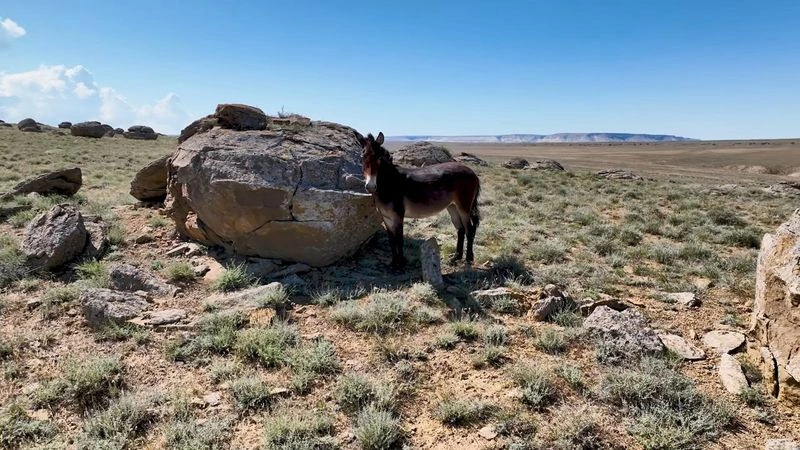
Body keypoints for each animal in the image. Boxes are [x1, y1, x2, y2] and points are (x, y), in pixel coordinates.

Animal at [357, 131, 481, 269]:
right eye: (362, 157)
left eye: (379, 158)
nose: (370, 186)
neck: (391, 183)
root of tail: (472, 172)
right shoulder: (386, 218)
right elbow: (392, 240)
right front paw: (394, 263)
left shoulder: (398, 216)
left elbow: (399, 239)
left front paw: (401, 264)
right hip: (452, 206)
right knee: (460, 229)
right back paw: (456, 258)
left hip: (464, 206)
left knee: (469, 229)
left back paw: (468, 259)